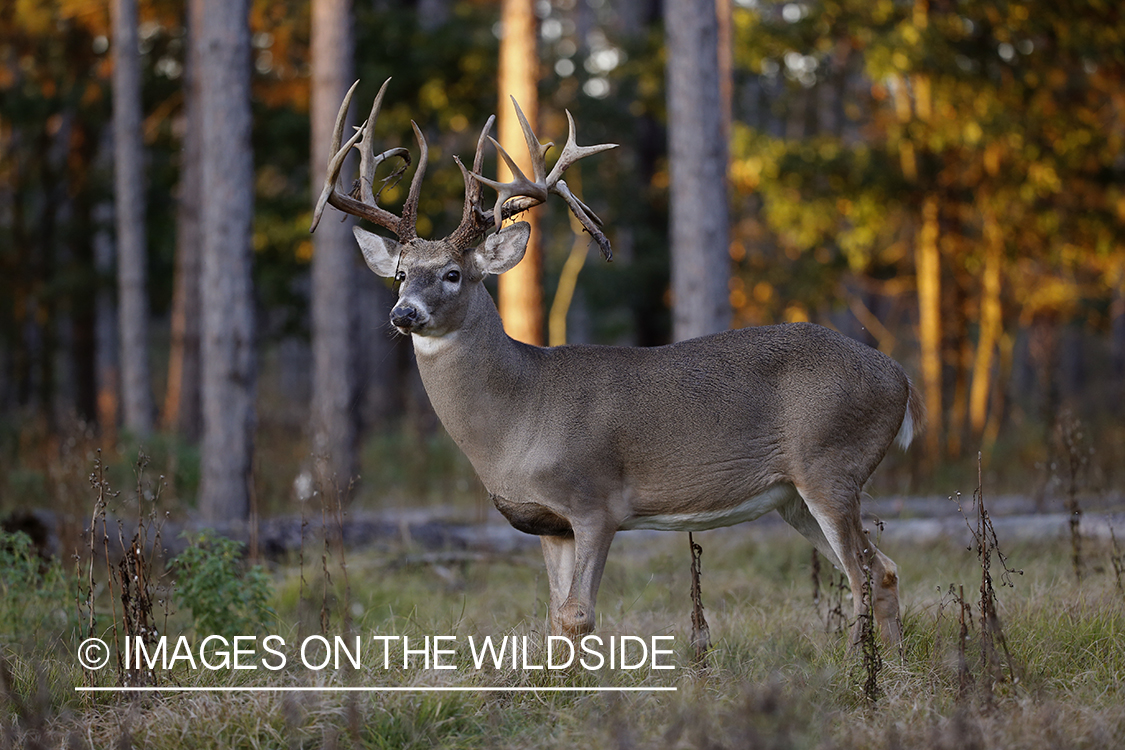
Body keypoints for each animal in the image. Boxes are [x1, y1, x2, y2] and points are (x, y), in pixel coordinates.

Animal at [310, 79, 922, 647]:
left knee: (864, 571)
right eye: (400, 273)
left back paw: (858, 666)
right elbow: (556, 619)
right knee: (886, 568)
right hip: (793, 496)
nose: (403, 313)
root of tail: (901, 378)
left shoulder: (595, 500)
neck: (517, 417)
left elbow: (580, 615)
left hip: (831, 464)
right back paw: (885, 666)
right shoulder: (549, 525)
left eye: (453, 274)